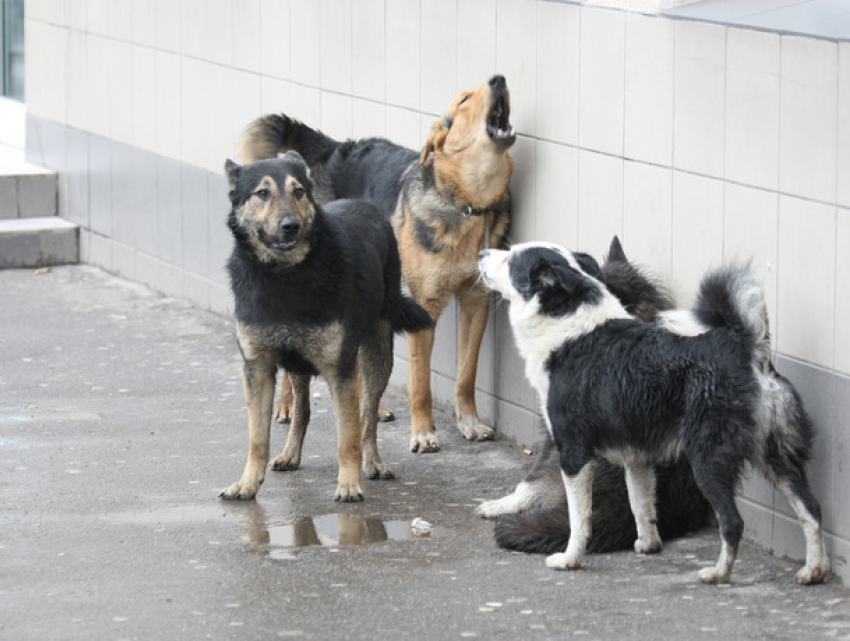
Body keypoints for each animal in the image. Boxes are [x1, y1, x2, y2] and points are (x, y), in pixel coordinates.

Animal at [219, 152, 430, 502]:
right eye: (262, 193)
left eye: (299, 192)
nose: (290, 226)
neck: (284, 276)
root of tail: (365, 204)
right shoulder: (258, 369)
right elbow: (257, 438)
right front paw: (247, 483)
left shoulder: (340, 370)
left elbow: (348, 436)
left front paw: (349, 483)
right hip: (297, 365)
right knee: (302, 410)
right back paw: (290, 454)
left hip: (376, 356)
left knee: (367, 415)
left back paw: (372, 462)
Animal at [240, 76, 516, 456]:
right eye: (464, 100)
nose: (498, 79)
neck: (466, 203)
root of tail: (334, 148)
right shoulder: (426, 306)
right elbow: (421, 382)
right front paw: (423, 432)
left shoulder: (477, 303)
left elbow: (466, 374)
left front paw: (469, 422)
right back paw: (286, 404)